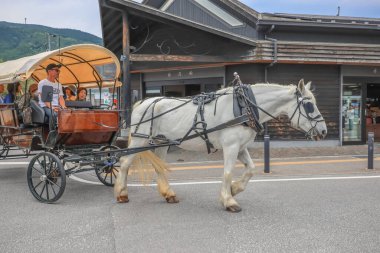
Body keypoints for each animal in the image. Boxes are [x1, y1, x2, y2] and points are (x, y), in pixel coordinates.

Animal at [115, 79, 326, 211]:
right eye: (309, 106)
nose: (323, 131)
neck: (244, 107)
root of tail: (143, 102)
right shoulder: (231, 146)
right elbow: (227, 172)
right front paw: (228, 200)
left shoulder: (241, 147)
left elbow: (251, 169)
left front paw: (234, 189)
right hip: (140, 139)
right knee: (124, 163)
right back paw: (122, 194)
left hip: (162, 142)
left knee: (159, 167)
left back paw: (169, 194)